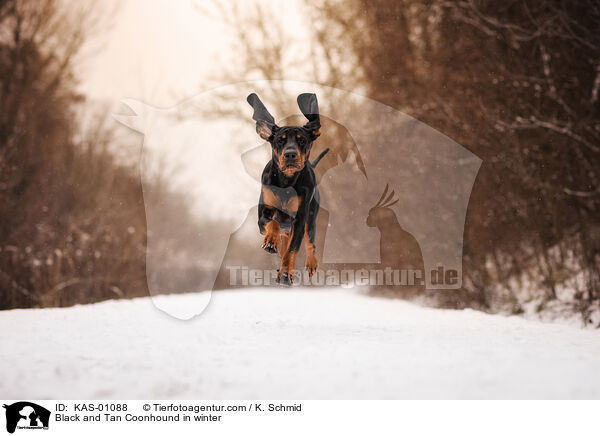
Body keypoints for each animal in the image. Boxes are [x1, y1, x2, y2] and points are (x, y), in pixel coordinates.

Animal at [247, 93, 330, 286]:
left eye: (302, 140)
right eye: (280, 140)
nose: (290, 154)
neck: (286, 182)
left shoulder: (299, 219)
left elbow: (293, 249)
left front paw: (286, 275)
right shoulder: (263, 215)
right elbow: (273, 223)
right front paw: (270, 242)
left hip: (311, 217)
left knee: (310, 241)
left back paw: (311, 263)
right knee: (283, 237)